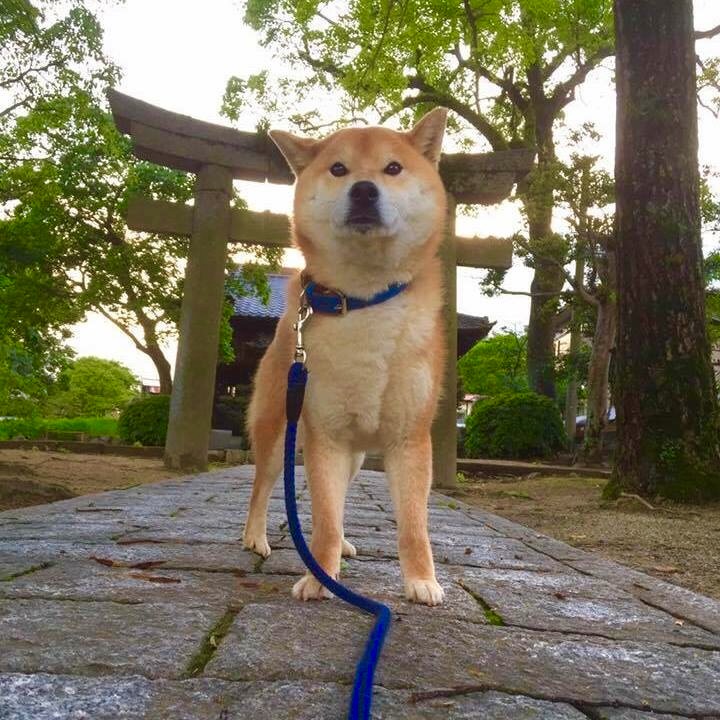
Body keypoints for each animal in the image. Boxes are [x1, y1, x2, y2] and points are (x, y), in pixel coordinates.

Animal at [245, 108, 452, 608]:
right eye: (338, 169)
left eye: (393, 168)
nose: (363, 189)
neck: (365, 301)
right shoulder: (326, 437)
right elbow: (322, 515)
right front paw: (320, 576)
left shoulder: (409, 439)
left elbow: (413, 525)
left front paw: (422, 580)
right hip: (278, 431)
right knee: (262, 489)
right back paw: (255, 538)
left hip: (357, 457)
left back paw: (344, 545)